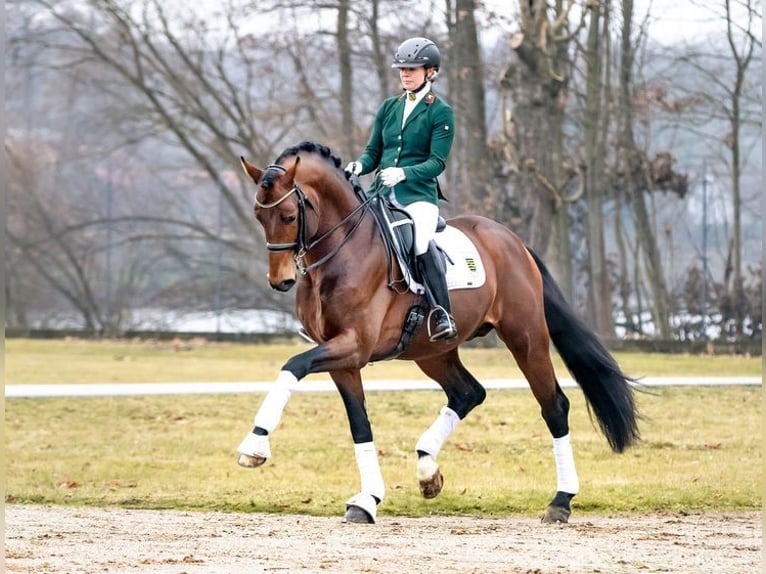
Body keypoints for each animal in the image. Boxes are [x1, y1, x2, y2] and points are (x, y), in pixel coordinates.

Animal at [237, 141, 640, 528]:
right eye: (259, 216)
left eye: (289, 216)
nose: (280, 281)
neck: (343, 250)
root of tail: (512, 241)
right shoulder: (342, 358)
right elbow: (359, 425)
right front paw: (367, 500)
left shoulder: (353, 346)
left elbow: (292, 366)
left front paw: (255, 445)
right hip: (432, 351)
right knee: (468, 392)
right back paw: (427, 470)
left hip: (525, 337)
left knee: (553, 406)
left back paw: (560, 501)